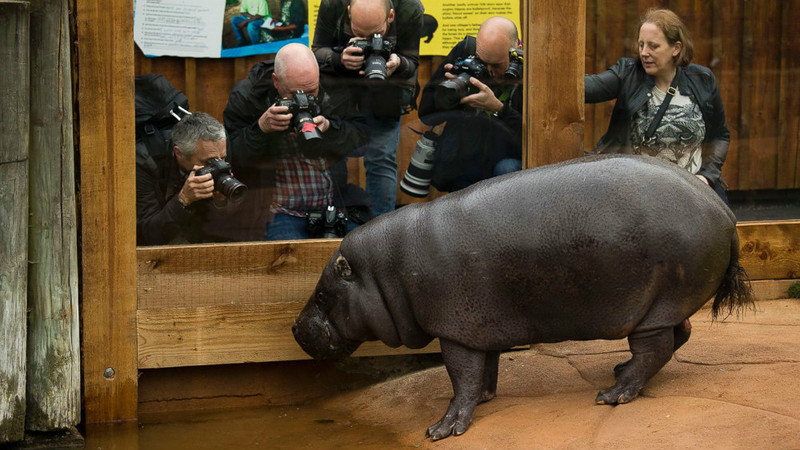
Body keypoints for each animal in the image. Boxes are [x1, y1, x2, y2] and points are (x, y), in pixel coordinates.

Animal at [290, 155, 752, 440]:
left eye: (322, 296)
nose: (294, 327)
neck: (385, 270)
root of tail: (726, 214)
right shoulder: (479, 325)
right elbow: (485, 369)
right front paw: (486, 399)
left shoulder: (456, 329)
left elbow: (461, 376)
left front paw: (443, 429)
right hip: (663, 304)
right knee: (678, 335)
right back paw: (619, 371)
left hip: (657, 303)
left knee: (656, 348)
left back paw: (612, 394)